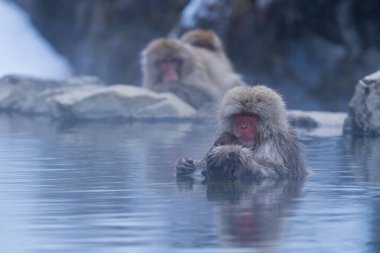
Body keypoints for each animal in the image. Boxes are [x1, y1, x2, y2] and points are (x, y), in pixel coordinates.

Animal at [177, 86, 310, 181]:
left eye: (251, 116)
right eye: (240, 115)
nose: (243, 127)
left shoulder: (276, 142)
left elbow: (274, 173)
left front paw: (227, 152)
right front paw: (184, 164)